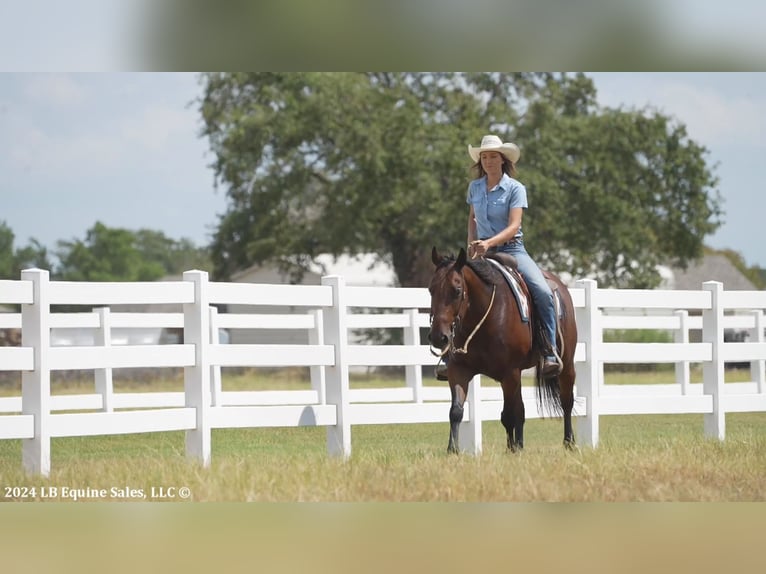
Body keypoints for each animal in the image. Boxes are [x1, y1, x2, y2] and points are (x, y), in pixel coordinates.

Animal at [428, 248, 580, 454]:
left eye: (457, 290)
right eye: (431, 289)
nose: (438, 337)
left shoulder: (509, 374)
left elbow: (508, 415)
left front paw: (511, 450)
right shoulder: (459, 370)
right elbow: (456, 411)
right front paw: (452, 450)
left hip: (566, 364)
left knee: (566, 401)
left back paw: (569, 442)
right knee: (521, 410)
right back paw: (521, 445)